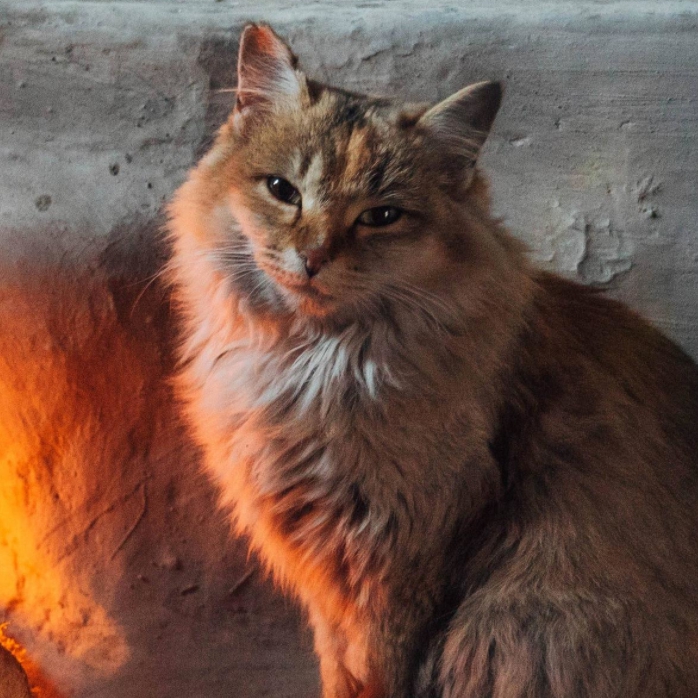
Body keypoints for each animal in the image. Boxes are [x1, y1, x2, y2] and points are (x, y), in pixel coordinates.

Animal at [167, 23, 698, 698]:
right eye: (283, 191)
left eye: (381, 216)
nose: (312, 258)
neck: (312, 362)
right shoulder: (331, 582)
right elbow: (339, 673)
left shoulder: (400, 569)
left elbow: (376, 676)